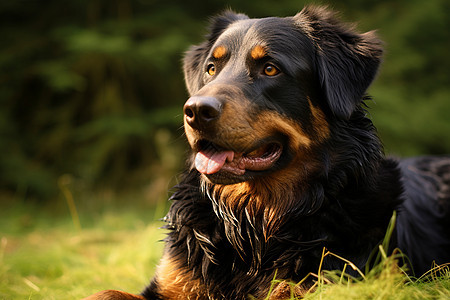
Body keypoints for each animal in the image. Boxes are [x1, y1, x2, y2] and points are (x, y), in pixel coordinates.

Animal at [85, 5, 450, 300]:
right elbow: (105, 293)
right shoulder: (174, 281)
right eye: (211, 68)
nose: (195, 111)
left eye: (271, 68)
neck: (253, 220)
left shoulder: (333, 279)